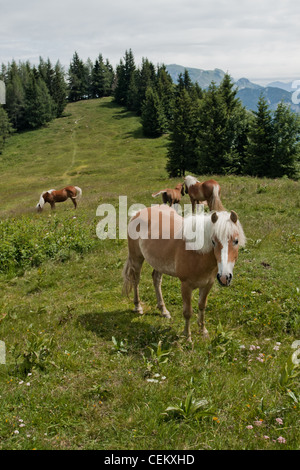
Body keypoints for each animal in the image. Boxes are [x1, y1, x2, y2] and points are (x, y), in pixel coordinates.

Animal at [123, 206, 245, 342]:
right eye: (213, 241)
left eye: (236, 241)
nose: (224, 277)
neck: (197, 253)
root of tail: (137, 213)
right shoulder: (186, 286)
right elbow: (188, 312)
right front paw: (187, 336)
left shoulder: (208, 284)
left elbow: (202, 306)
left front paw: (203, 331)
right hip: (136, 259)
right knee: (136, 280)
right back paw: (138, 307)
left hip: (159, 263)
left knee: (156, 280)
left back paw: (163, 310)